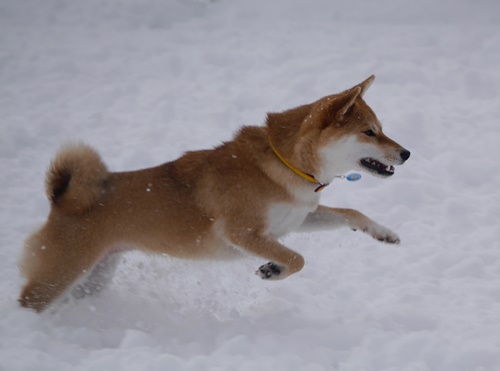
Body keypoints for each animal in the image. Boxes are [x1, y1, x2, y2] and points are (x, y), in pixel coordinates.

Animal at [18, 76, 410, 314]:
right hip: (58, 276)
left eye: (380, 129)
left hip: (92, 278)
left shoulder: (296, 218)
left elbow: (349, 213)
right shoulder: (242, 233)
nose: (407, 153)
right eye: (370, 132)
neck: (286, 164)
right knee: (28, 302)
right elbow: (297, 259)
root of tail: (60, 201)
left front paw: (383, 232)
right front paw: (272, 270)